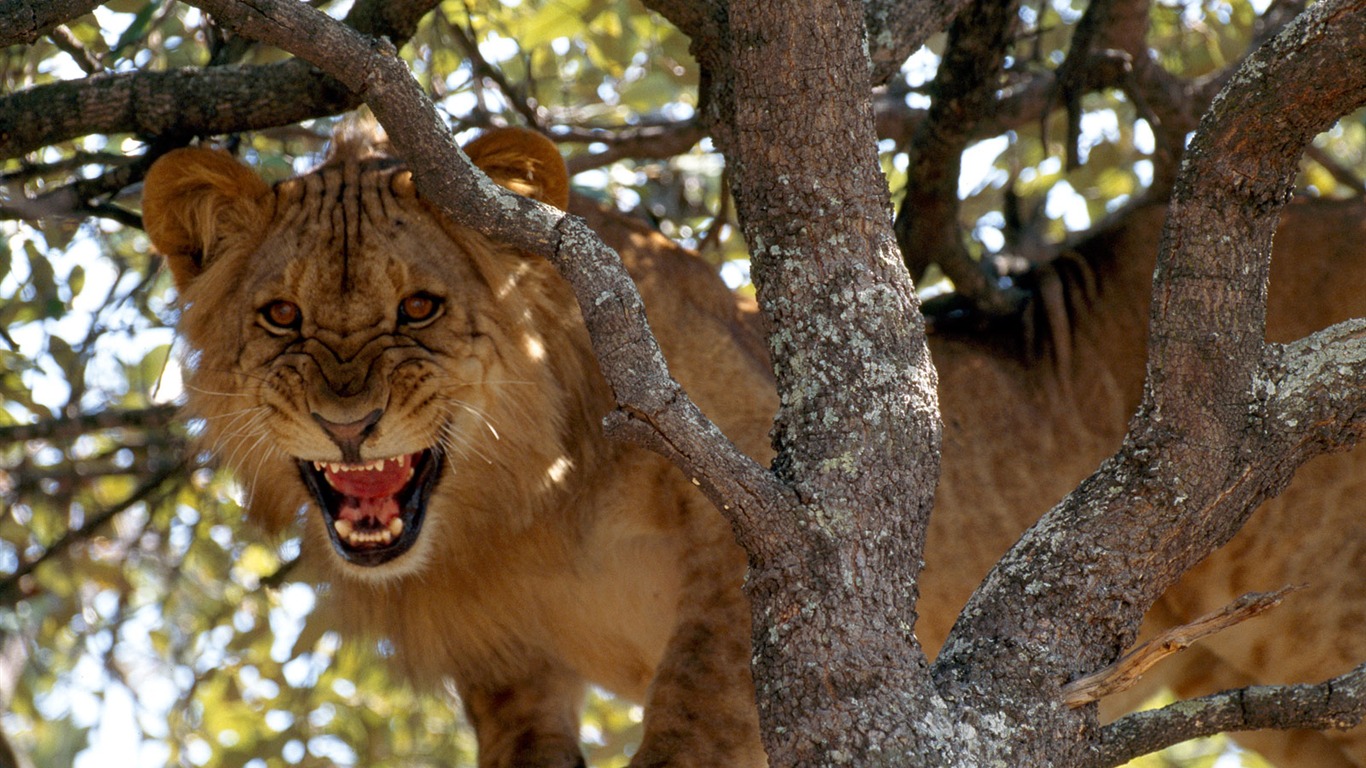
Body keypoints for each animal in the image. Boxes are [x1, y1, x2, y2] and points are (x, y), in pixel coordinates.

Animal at [146, 127, 781, 765]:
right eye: (281, 315)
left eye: (418, 308)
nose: (348, 426)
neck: (538, 496)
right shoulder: (505, 656)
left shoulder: (744, 480)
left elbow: (701, 694)